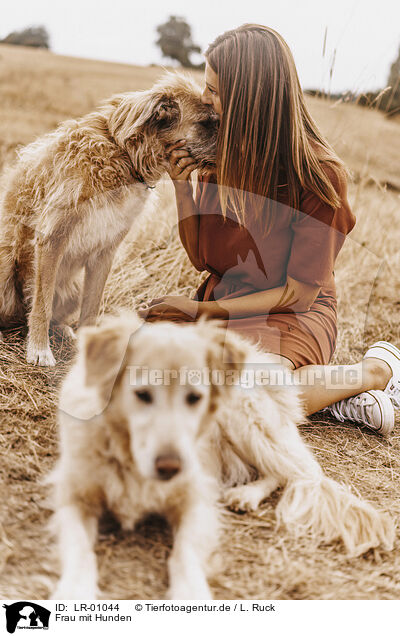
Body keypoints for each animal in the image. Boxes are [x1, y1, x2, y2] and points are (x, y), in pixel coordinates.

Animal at [0, 72, 217, 366]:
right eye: (206, 123)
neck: (122, 155)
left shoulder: (105, 252)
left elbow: (91, 308)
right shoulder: (52, 237)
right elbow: (42, 304)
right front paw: (39, 349)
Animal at [47, 314, 394, 600]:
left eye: (194, 398)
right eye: (142, 394)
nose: (171, 466)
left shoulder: (196, 501)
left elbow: (183, 555)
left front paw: (190, 593)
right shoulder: (74, 497)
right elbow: (79, 549)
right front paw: (75, 591)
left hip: (244, 418)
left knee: (296, 472)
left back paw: (246, 495)